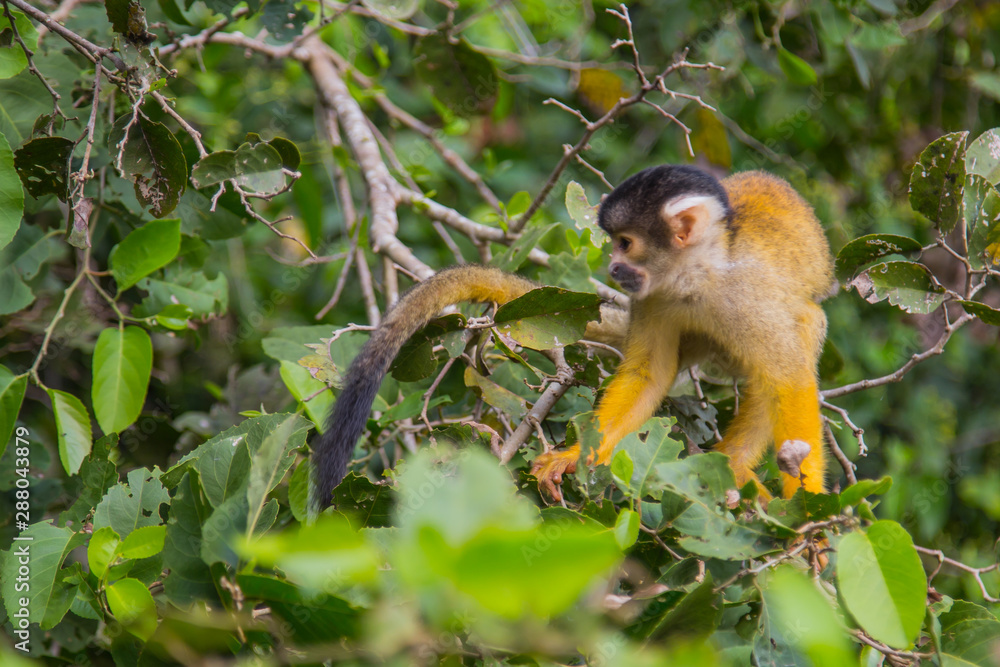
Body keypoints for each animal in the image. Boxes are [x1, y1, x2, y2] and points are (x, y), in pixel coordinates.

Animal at [311, 165, 834, 508]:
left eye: (625, 243)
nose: (613, 268)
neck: (696, 278)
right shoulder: (655, 297)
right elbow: (648, 374)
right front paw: (574, 453)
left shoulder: (747, 295)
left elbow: (788, 379)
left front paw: (809, 511)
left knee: (801, 335)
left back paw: (738, 469)